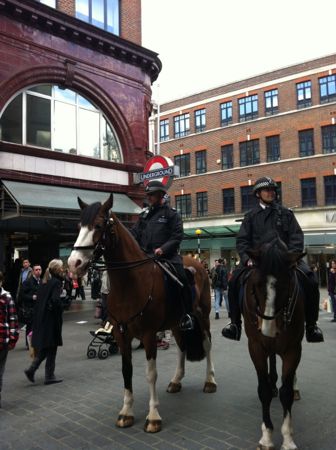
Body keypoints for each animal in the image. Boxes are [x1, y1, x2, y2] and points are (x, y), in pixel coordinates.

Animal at [67, 194, 217, 432]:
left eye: (98, 225)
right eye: (79, 225)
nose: (74, 263)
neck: (130, 283)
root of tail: (196, 262)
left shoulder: (148, 335)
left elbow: (150, 374)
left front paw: (153, 416)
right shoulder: (121, 334)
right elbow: (126, 370)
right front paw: (126, 412)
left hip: (202, 317)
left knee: (207, 344)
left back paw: (210, 381)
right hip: (177, 322)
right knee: (182, 347)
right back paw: (176, 380)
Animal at [243, 236, 306, 450]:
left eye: (286, 285)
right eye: (256, 284)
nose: (268, 330)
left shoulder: (293, 349)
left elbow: (286, 392)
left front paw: (287, 438)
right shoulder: (256, 347)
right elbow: (262, 390)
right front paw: (267, 437)